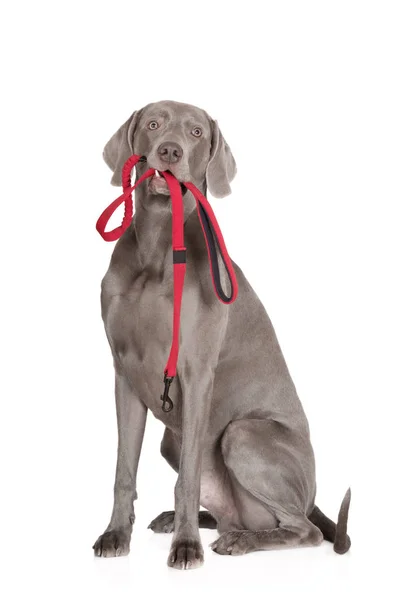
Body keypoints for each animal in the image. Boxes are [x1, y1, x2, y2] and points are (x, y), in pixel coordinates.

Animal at [94, 101, 350, 568]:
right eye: (153, 124)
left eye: (196, 132)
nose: (170, 151)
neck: (158, 248)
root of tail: (312, 497)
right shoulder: (124, 372)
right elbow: (124, 470)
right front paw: (115, 535)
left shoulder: (196, 373)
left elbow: (188, 479)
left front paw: (186, 546)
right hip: (171, 441)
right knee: (233, 512)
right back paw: (193, 522)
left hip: (243, 433)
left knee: (301, 529)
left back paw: (238, 540)